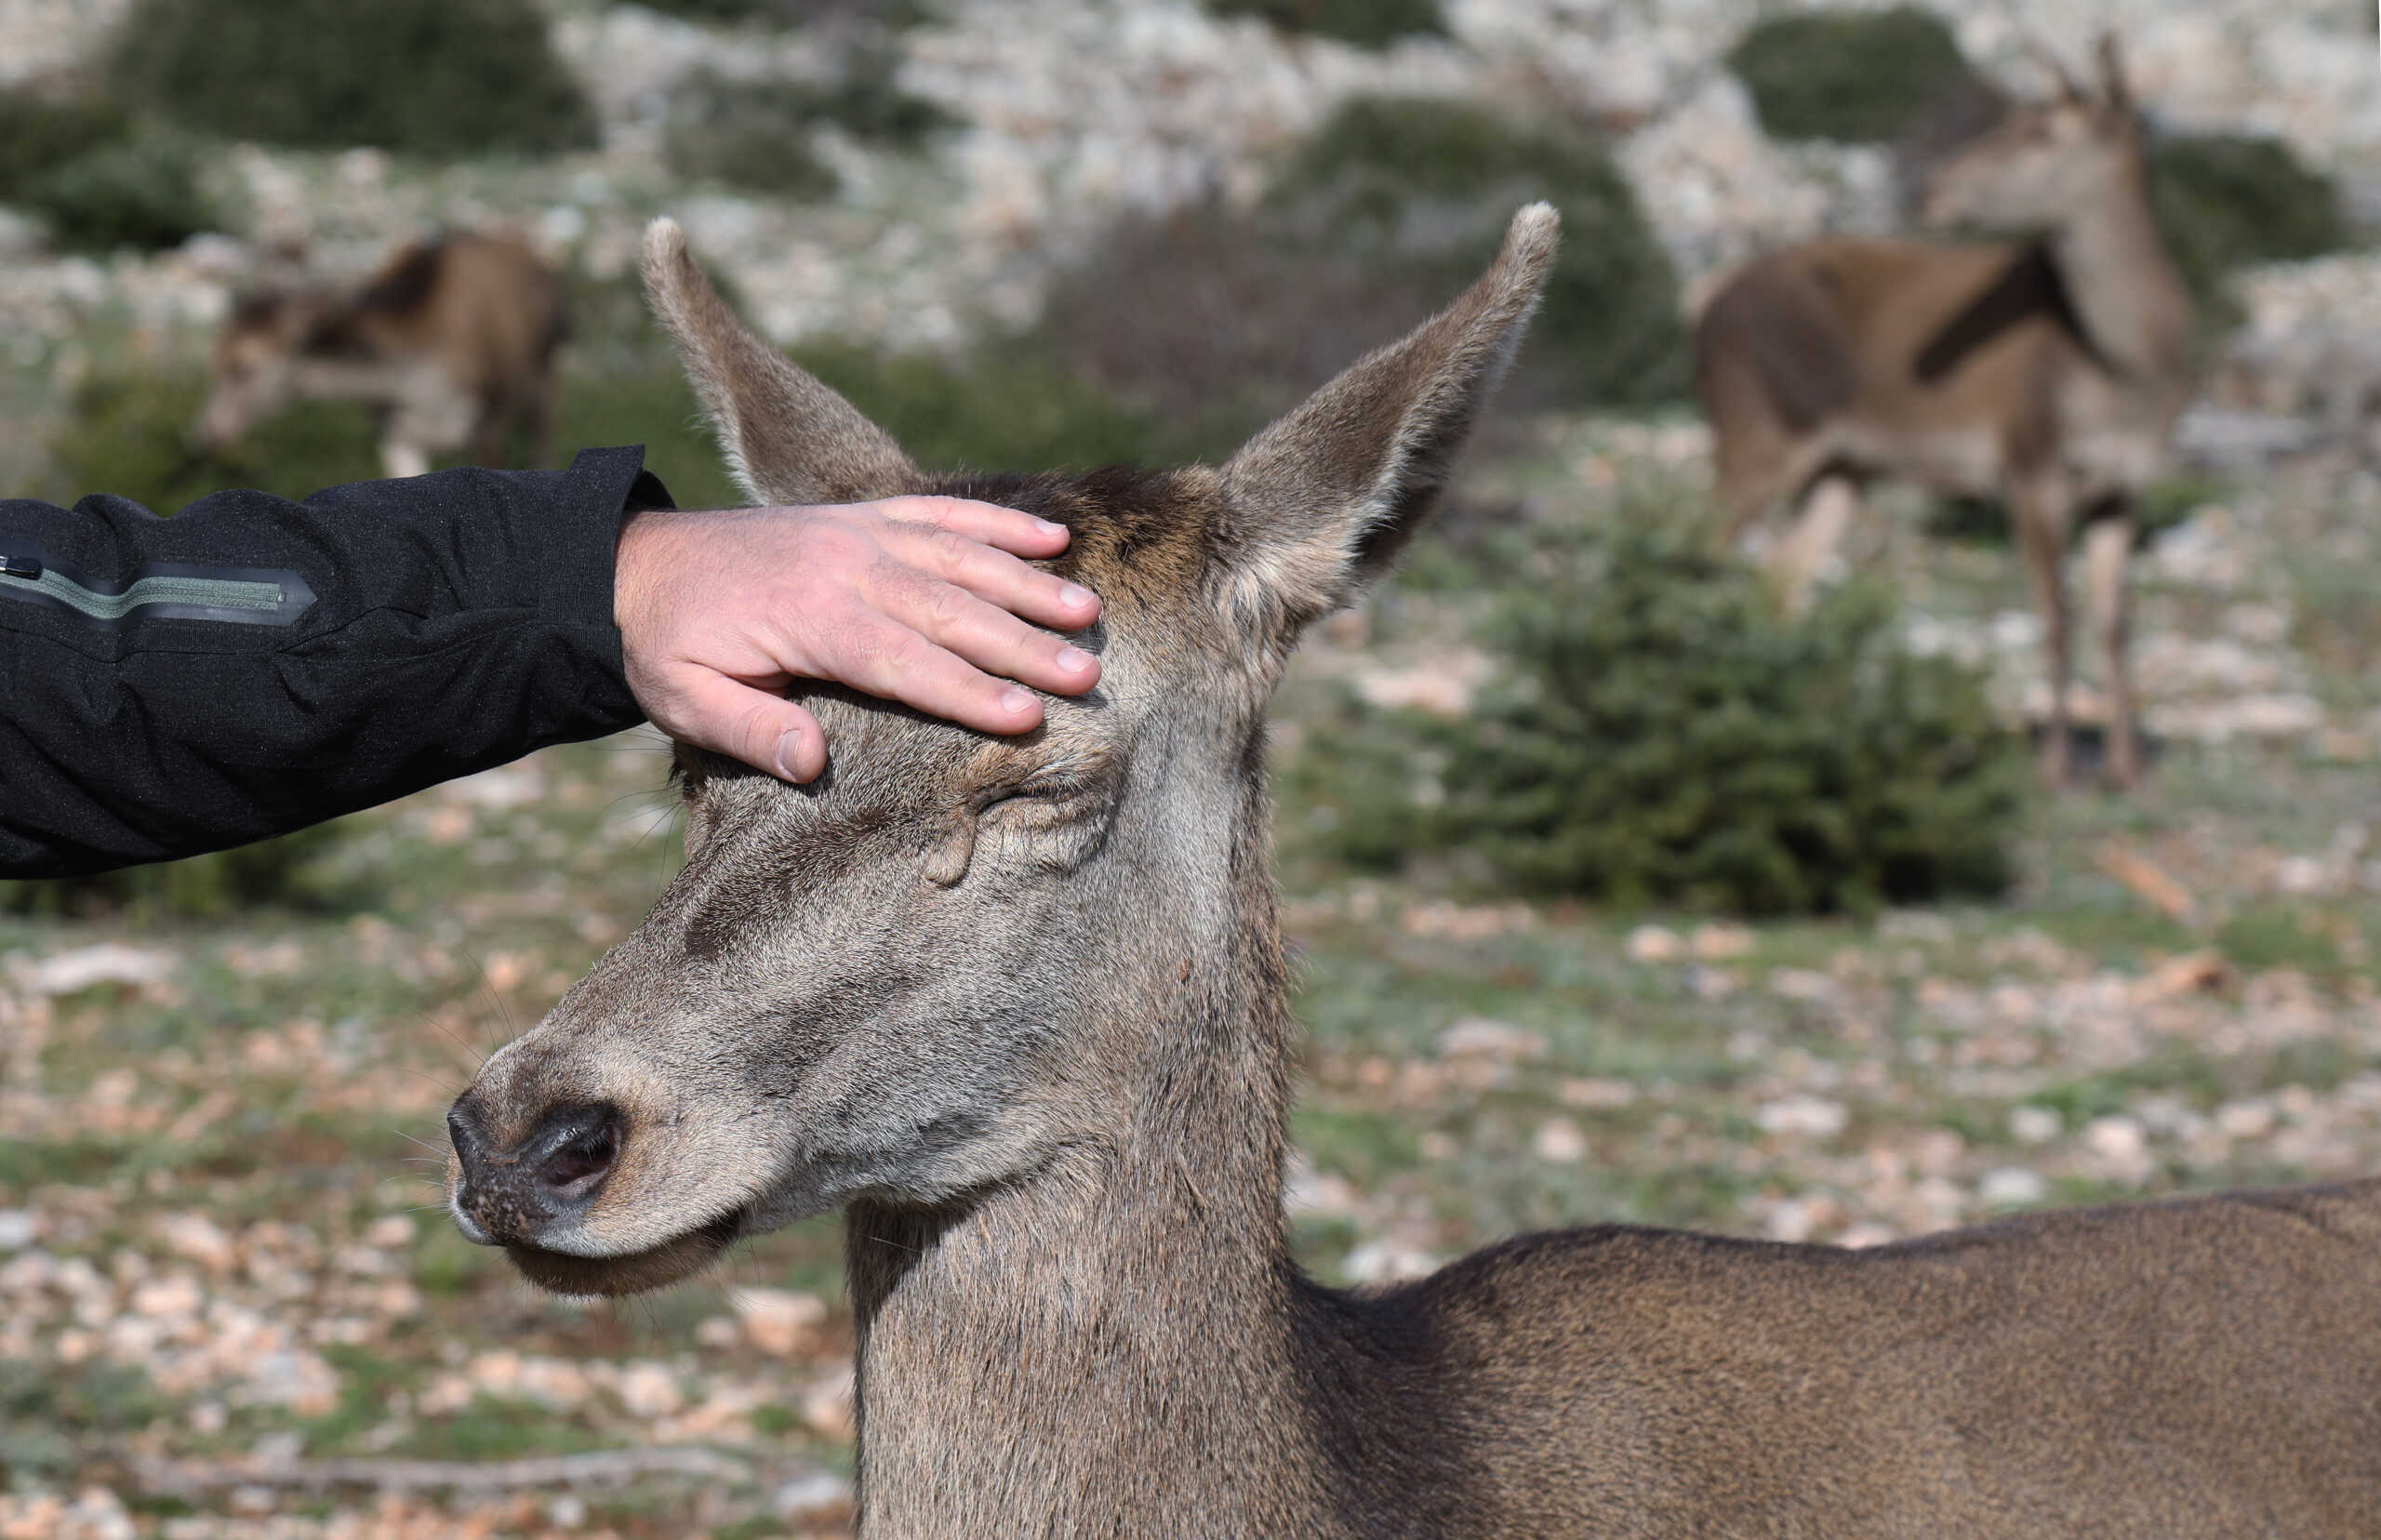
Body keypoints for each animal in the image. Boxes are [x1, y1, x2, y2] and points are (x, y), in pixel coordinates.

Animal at [192, 227, 566, 475]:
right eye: (214, 358)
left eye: (244, 367)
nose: (205, 435)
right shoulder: (395, 435)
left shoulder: (490, 421)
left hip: (546, 374)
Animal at [1695, 39, 2190, 785]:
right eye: (2019, 117)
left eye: (2044, 132)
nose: (1928, 188)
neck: (2125, 374)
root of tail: (1703, 317)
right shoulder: (2026, 456)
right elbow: (2056, 609)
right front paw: (2058, 771)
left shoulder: (2127, 480)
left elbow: (2115, 618)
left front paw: (2129, 772)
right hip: (1758, 430)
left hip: (1843, 467)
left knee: (1781, 575)